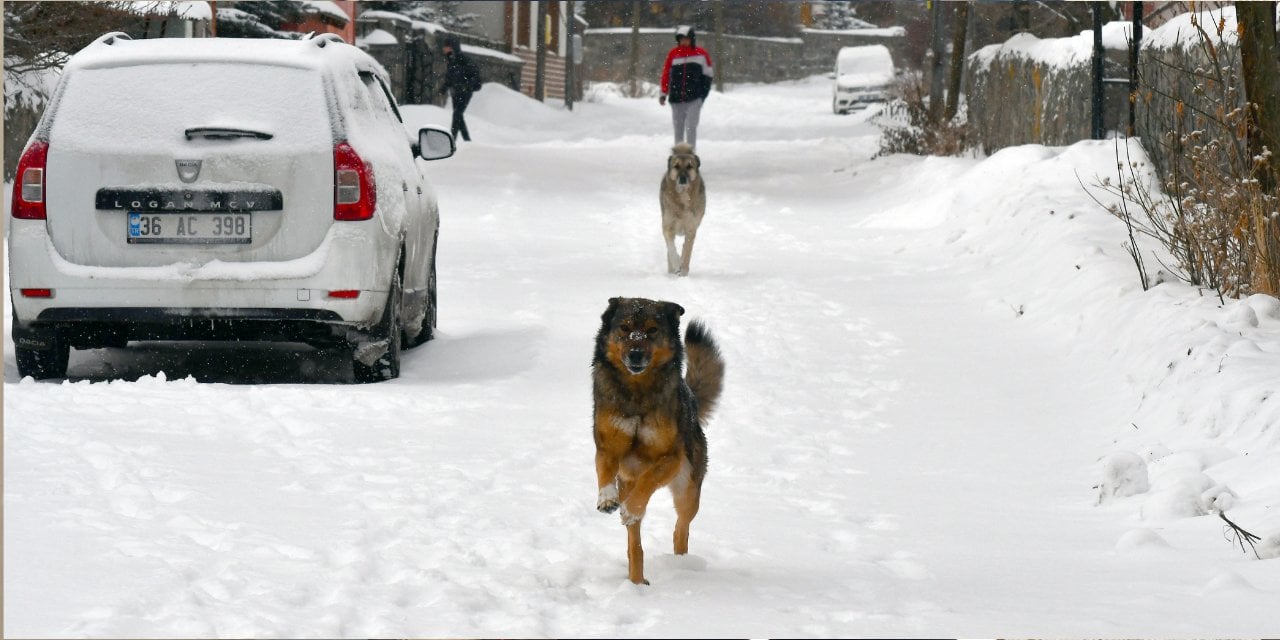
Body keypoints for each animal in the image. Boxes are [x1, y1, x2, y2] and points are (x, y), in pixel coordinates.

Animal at [593, 295, 727, 586]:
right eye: (624, 328)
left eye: (653, 330)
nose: (635, 353)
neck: (637, 392)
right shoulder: (607, 447)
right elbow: (604, 473)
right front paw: (607, 500)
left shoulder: (670, 458)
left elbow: (647, 480)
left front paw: (630, 508)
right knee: (635, 545)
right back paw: (636, 580)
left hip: (688, 493)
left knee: (681, 530)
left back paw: (680, 564)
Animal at [665, 144, 706, 276]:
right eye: (676, 166)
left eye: (689, 166)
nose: (682, 179)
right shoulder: (668, 224)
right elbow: (671, 247)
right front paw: (676, 263)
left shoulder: (691, 228)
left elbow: (687, 250)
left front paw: (683, 270)